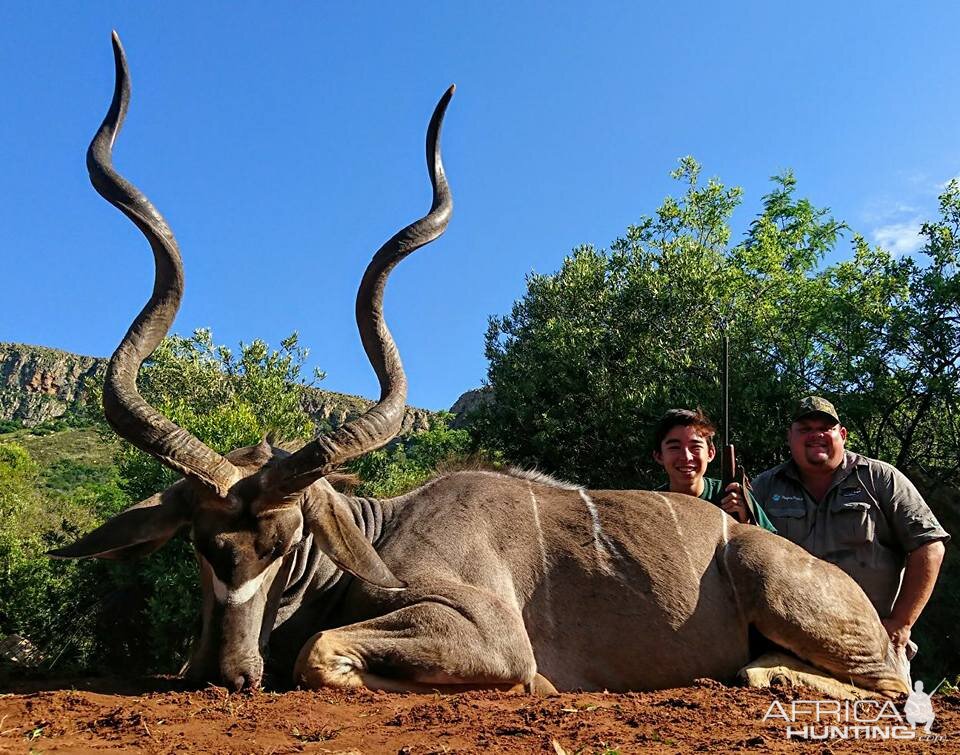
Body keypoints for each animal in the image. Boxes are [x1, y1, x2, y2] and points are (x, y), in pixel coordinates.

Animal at [52, 34, 908, 696]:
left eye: (286, 540)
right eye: (203, 542)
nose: (228, 673)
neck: (380, 534)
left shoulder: (491, 630)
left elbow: (320, 653)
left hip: (792, 599)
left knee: (894, 683)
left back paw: (768, 673)